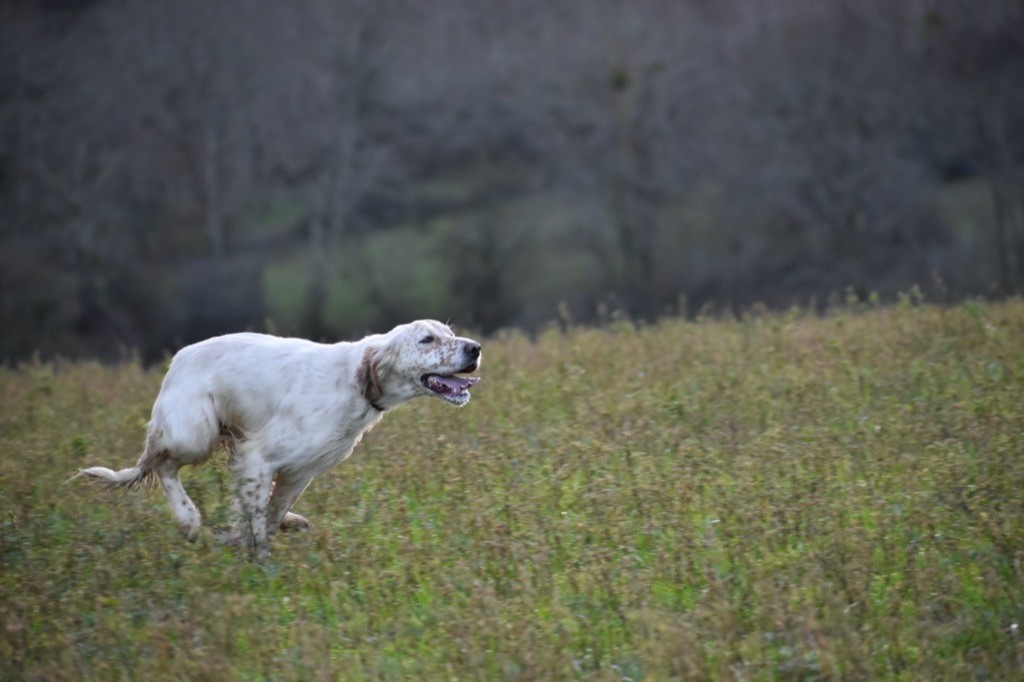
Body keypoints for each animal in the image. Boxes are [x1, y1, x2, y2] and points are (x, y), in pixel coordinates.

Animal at [75, 317, 483, 552]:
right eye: (427, 339)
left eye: (450, 334)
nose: (475, 348)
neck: (353, 384)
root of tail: (175, 363)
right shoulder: (257, 457)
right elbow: (257, 524)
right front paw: (254, 560)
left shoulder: (299, 472)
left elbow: (272, 513)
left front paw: (277, 526)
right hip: (195, 433)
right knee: (162, 465)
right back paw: (189, 519)